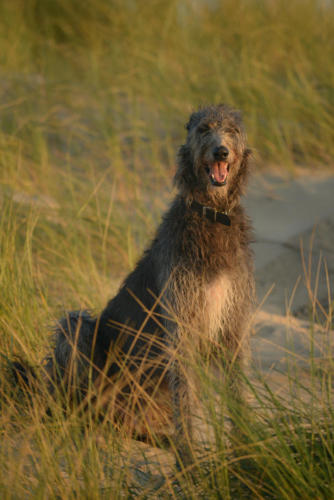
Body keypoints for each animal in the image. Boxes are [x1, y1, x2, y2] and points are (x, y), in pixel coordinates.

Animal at [43, 104, 254, 464]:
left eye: (232, 130)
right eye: (204, 129)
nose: (221, 151)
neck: (212, 215)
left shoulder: (233, 320)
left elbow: (237, 387)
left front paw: (246, 455)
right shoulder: (181, 321)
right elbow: (185, 395)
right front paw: (189, 463)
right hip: (80, 335)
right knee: (76, 338)